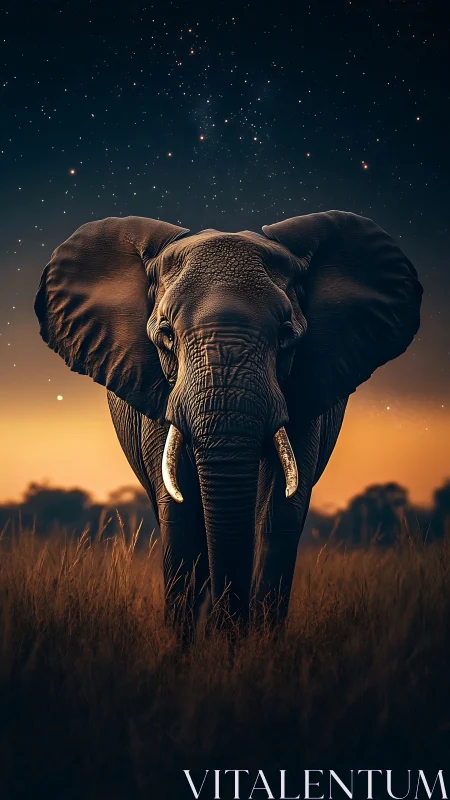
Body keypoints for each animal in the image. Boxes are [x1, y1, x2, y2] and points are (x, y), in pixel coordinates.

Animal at [34, 211, 422, 629]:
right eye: (166, 334)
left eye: (286, 335)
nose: (226, 626)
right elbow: (182, 515)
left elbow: (278, 512)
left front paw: (254, 643)